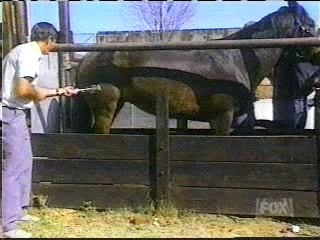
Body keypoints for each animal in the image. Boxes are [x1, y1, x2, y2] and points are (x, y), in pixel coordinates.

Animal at [74, 0, 318, 134]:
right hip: (106, 105)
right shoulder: (222, 116)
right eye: (310, 25)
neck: (237, 59)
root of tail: (87, 59)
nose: (316, 55)